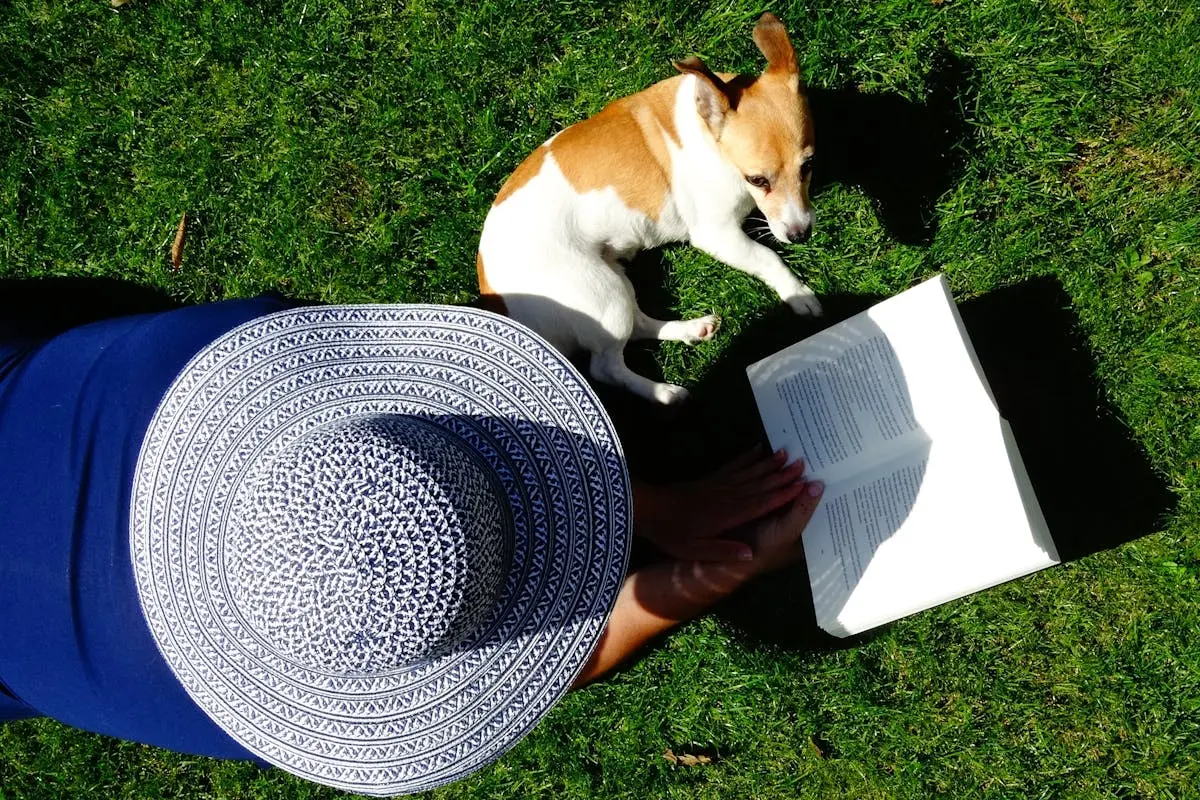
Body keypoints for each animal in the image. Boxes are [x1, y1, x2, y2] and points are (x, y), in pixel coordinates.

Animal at [477, 14, 825, 407]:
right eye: (757, 179)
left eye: (809, 164)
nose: (801, 234)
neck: (709, 134)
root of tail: (494, 295)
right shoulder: (717, 235)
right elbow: (768, 256)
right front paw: (797, 294)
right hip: (600, 293)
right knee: (606, 366)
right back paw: (664, 392)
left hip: (613, 280)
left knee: (639, 325)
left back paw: (692, 328)